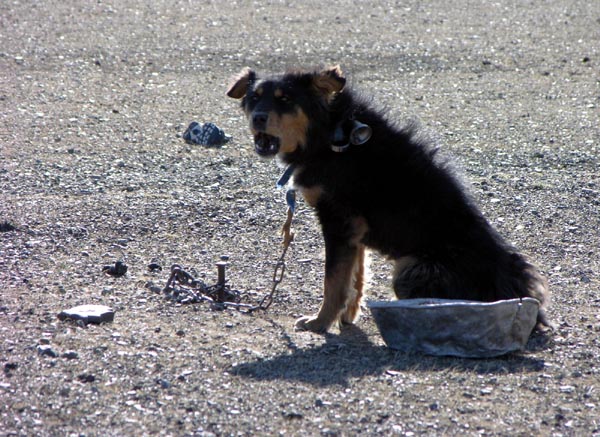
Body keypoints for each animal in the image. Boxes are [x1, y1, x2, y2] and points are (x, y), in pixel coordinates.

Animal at [227, 65, 550, 333]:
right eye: (254, 98)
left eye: (285, 100)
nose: (257, 118)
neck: (329, 134)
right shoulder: (353, 229)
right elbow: (354, 278)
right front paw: (347, 317)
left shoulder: (338, 220)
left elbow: (333, 282)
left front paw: (319, 323)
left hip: (410, 269)